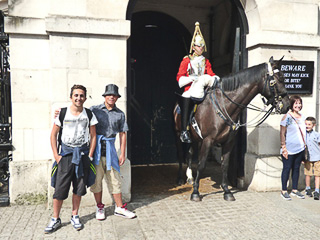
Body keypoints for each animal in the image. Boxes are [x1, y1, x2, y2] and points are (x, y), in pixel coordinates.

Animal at [174, 57, 292, 202]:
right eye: (278, 79)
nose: (287, 105)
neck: (225, 105)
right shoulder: (208, 140)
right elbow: (201, 164)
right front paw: (195, 192)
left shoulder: (228, 141)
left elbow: (224, 165)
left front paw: (226, 191)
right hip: (178, 134)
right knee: (181, 155)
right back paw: (181, 178)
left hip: (196, 139)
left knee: (190, 154)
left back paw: (190, 177)